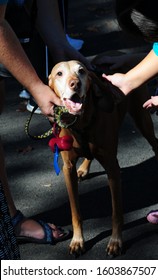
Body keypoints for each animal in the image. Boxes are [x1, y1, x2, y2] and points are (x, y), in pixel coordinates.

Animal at [48, 59, 158, 256]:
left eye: (81, 71)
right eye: (59, 73)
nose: (75, 83)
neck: (82, 124)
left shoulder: (112, 167)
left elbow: (116, 211)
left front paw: (115, 241)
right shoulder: (68, 168)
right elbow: (75, 212)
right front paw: (78, 240)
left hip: (143, 120)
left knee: (155, 143)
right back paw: (84, 168)